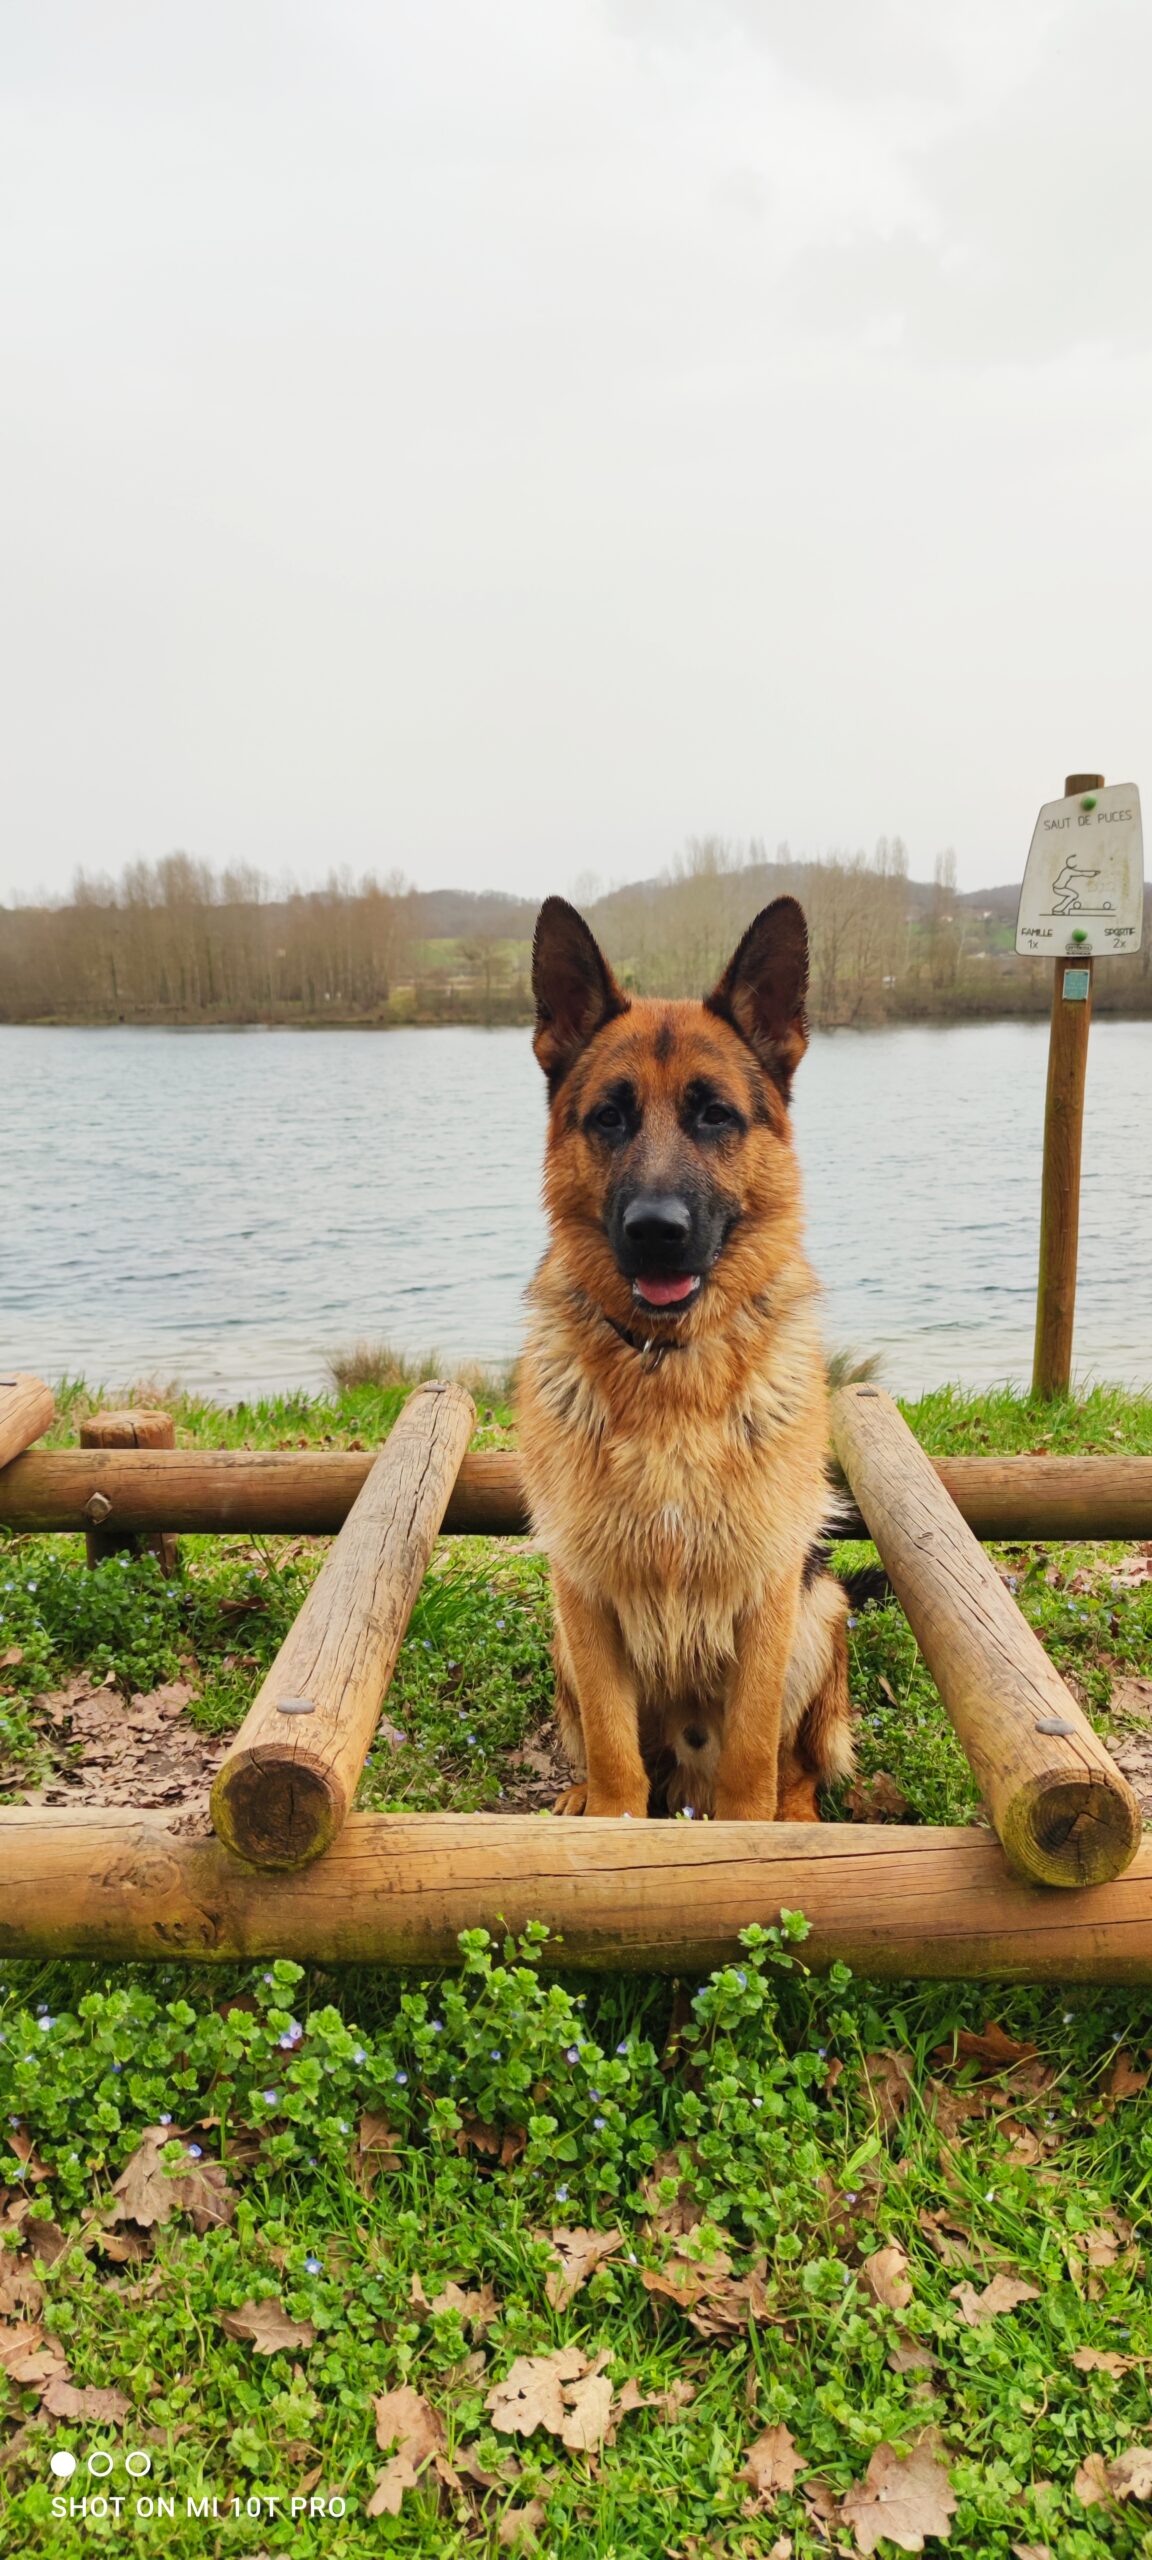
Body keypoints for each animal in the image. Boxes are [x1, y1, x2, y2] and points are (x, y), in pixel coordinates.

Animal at [522, 896, 855, 1822]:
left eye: (715, 1115)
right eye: (609, 1117)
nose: (656, 1232)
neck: (668, 1371)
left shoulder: (767, 1598)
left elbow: (752, 1759)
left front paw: (753, 1836)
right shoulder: (586, 1597)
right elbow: (613, 1752)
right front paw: (610, 1819)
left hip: (821, 1612)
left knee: (797, 1763)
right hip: (561, 1635)